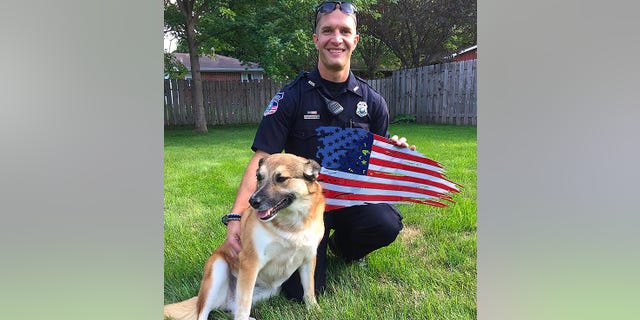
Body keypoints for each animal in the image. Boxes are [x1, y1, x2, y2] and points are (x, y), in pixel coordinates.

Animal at [165, 154, 324, 320]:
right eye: (259, 177)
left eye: (281, 178)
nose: (252, 201)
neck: (291, 225)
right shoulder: (250, 263)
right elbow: (244, 306)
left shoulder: (308, 259)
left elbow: (309, 290)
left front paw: (314, 310)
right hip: (217, 270)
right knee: (207, 313)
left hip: (271, 290)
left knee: (233, 310)